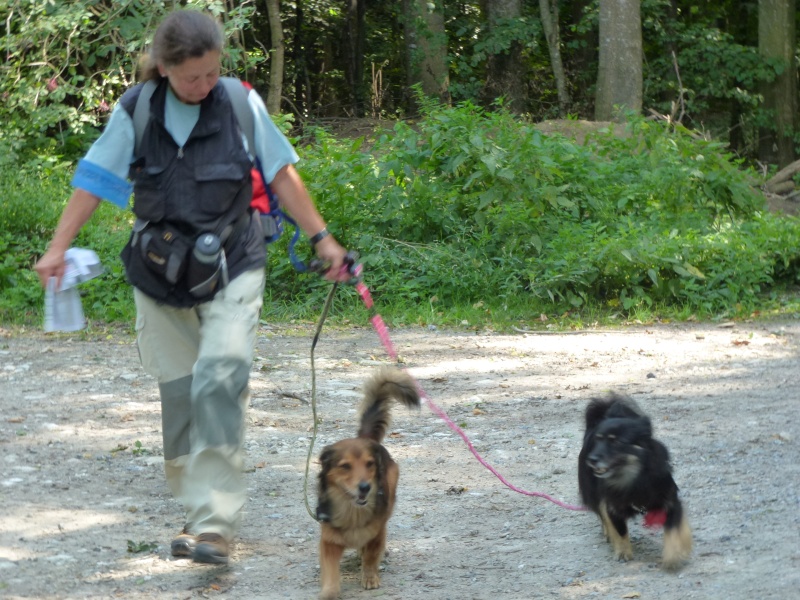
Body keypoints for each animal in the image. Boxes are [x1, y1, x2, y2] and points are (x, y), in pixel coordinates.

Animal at [316, 368, 422, 600]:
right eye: (345, 466)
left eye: (370, 464)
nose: (365, 487)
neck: (352, 511)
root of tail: (366, 438)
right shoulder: (329, 540)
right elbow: (330, 571)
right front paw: (329, 592)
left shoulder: (377, 531)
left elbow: (372, 555)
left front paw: (370, 577)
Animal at [580, 394, 692, 568]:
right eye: (598, 441)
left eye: (616, 442)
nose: (591, 459)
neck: (634, 479)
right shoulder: (613, 508)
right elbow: (620, 532)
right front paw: (622, 553)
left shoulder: (671, 502)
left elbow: (674, 530)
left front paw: (673, 555)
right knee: (603, 515)